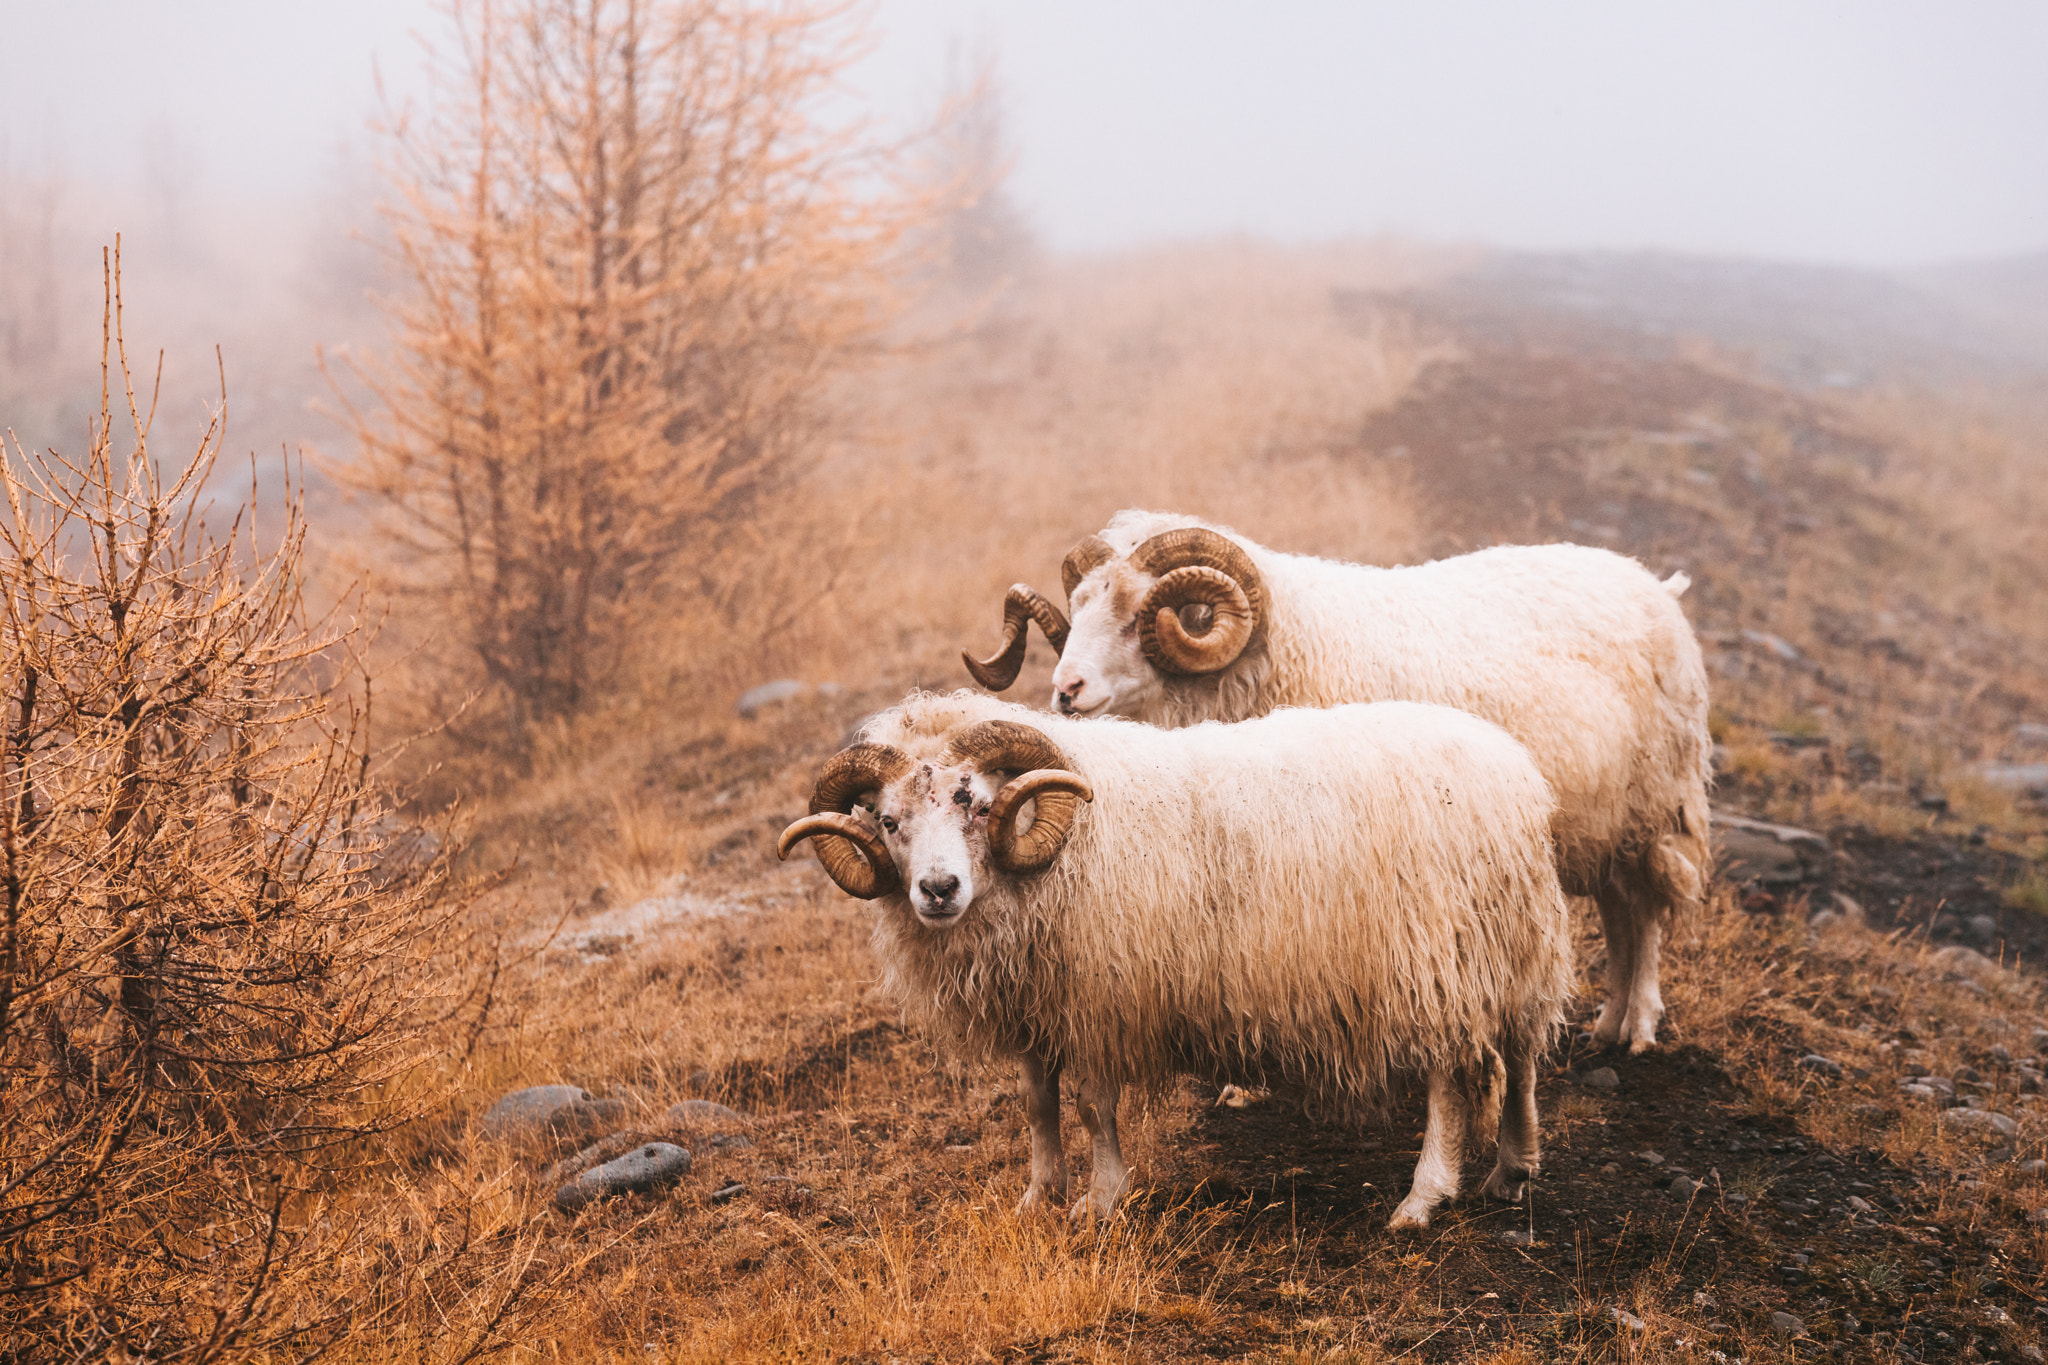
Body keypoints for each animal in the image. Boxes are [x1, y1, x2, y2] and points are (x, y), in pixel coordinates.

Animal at [778, 690, 1573, 1228]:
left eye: (973, 801)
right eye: (889, 820)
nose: (937, 890)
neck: (1057, 849)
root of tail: (1513, 769)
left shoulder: (1099, 999)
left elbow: (1093, 1106)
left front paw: (1099, 1201)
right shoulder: (1037, 1003)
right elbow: (1037, 1102)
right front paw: (1039, 1195)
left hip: (1435, 959)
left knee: (1449, 1081)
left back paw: (1422, 1196)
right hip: (1511, 948)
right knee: (1521, 1055)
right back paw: (1513, 1166)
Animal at [963, 511, 1711, 1053]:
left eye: (1137, 617)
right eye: (1079, 606)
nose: (1065, 691)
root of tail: (1654, 585)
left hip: (1654, 806)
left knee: (1645, 914)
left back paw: (1639, 1027)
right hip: (1606, 824)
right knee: (1620, 912)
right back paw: (1610, 1023)